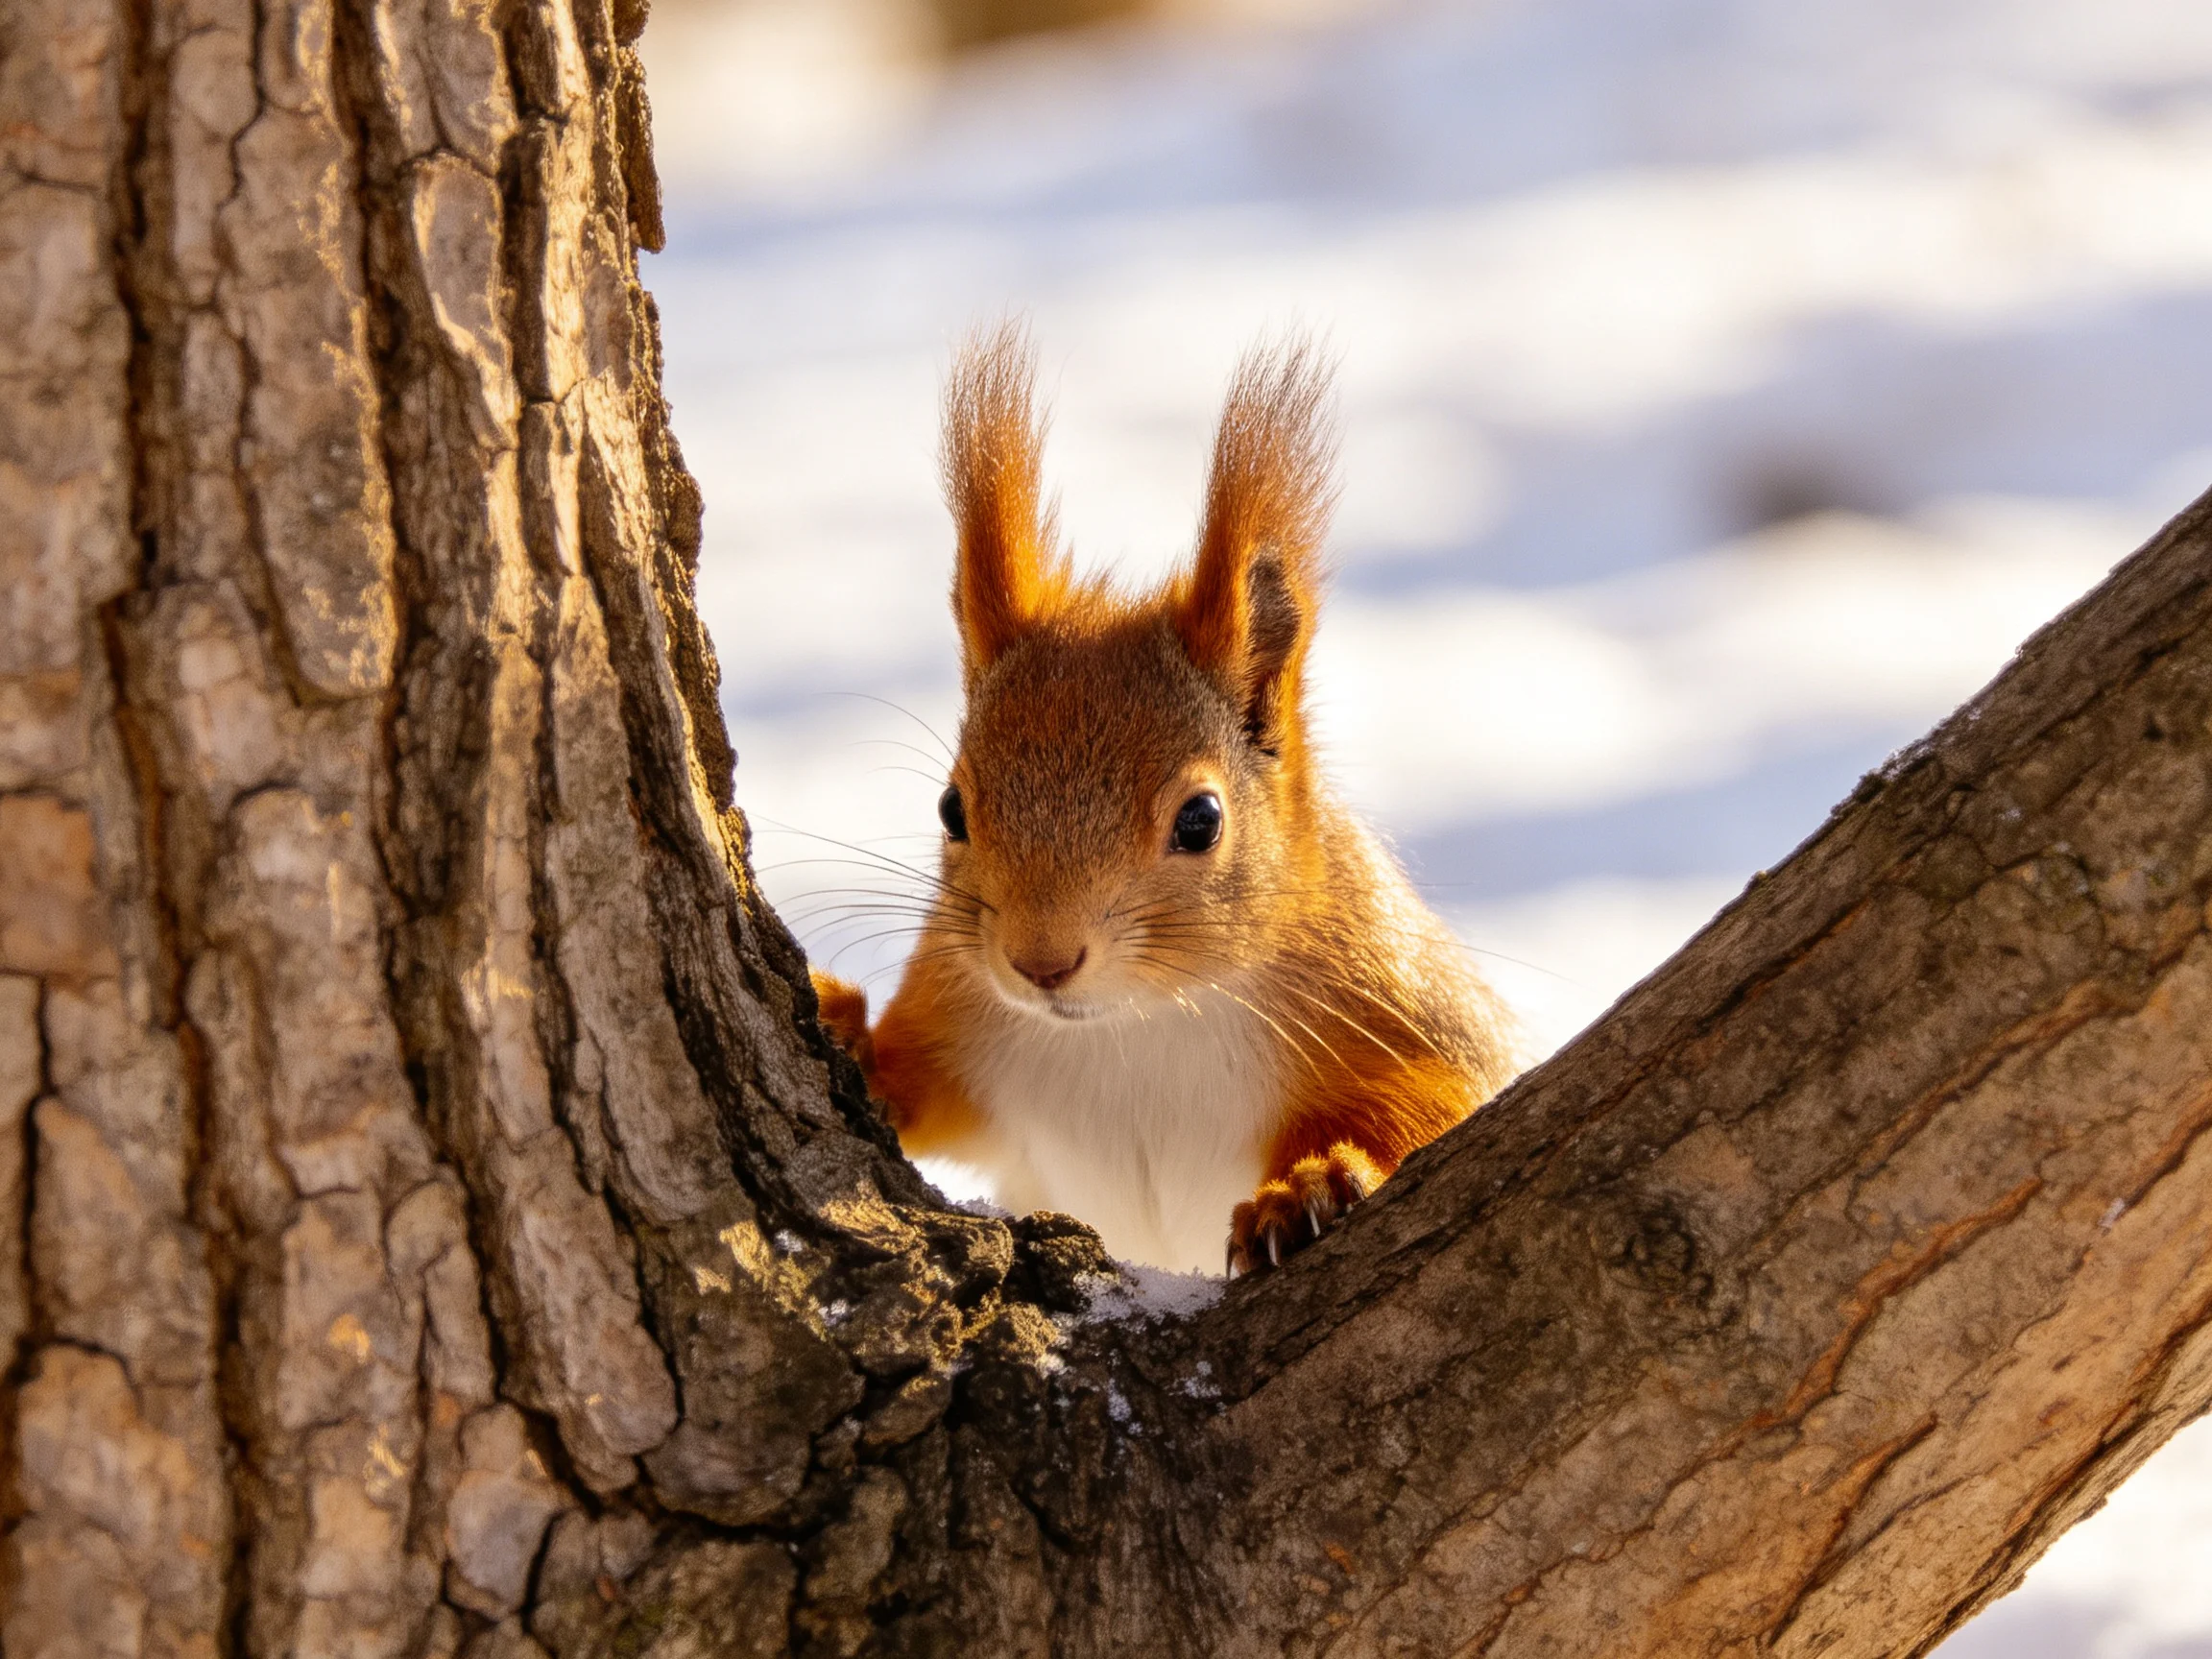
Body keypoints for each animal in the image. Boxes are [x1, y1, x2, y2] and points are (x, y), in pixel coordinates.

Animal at [809, 324, 1519, 1276]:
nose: (1039, 963)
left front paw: (1316, 1181)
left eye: (1201, 820)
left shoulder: (1393, 999)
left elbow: (1439, 1100)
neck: (1135, 1023)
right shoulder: (960, 1007)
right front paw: (839, 1021)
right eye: (951, 810)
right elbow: (915, 1086)